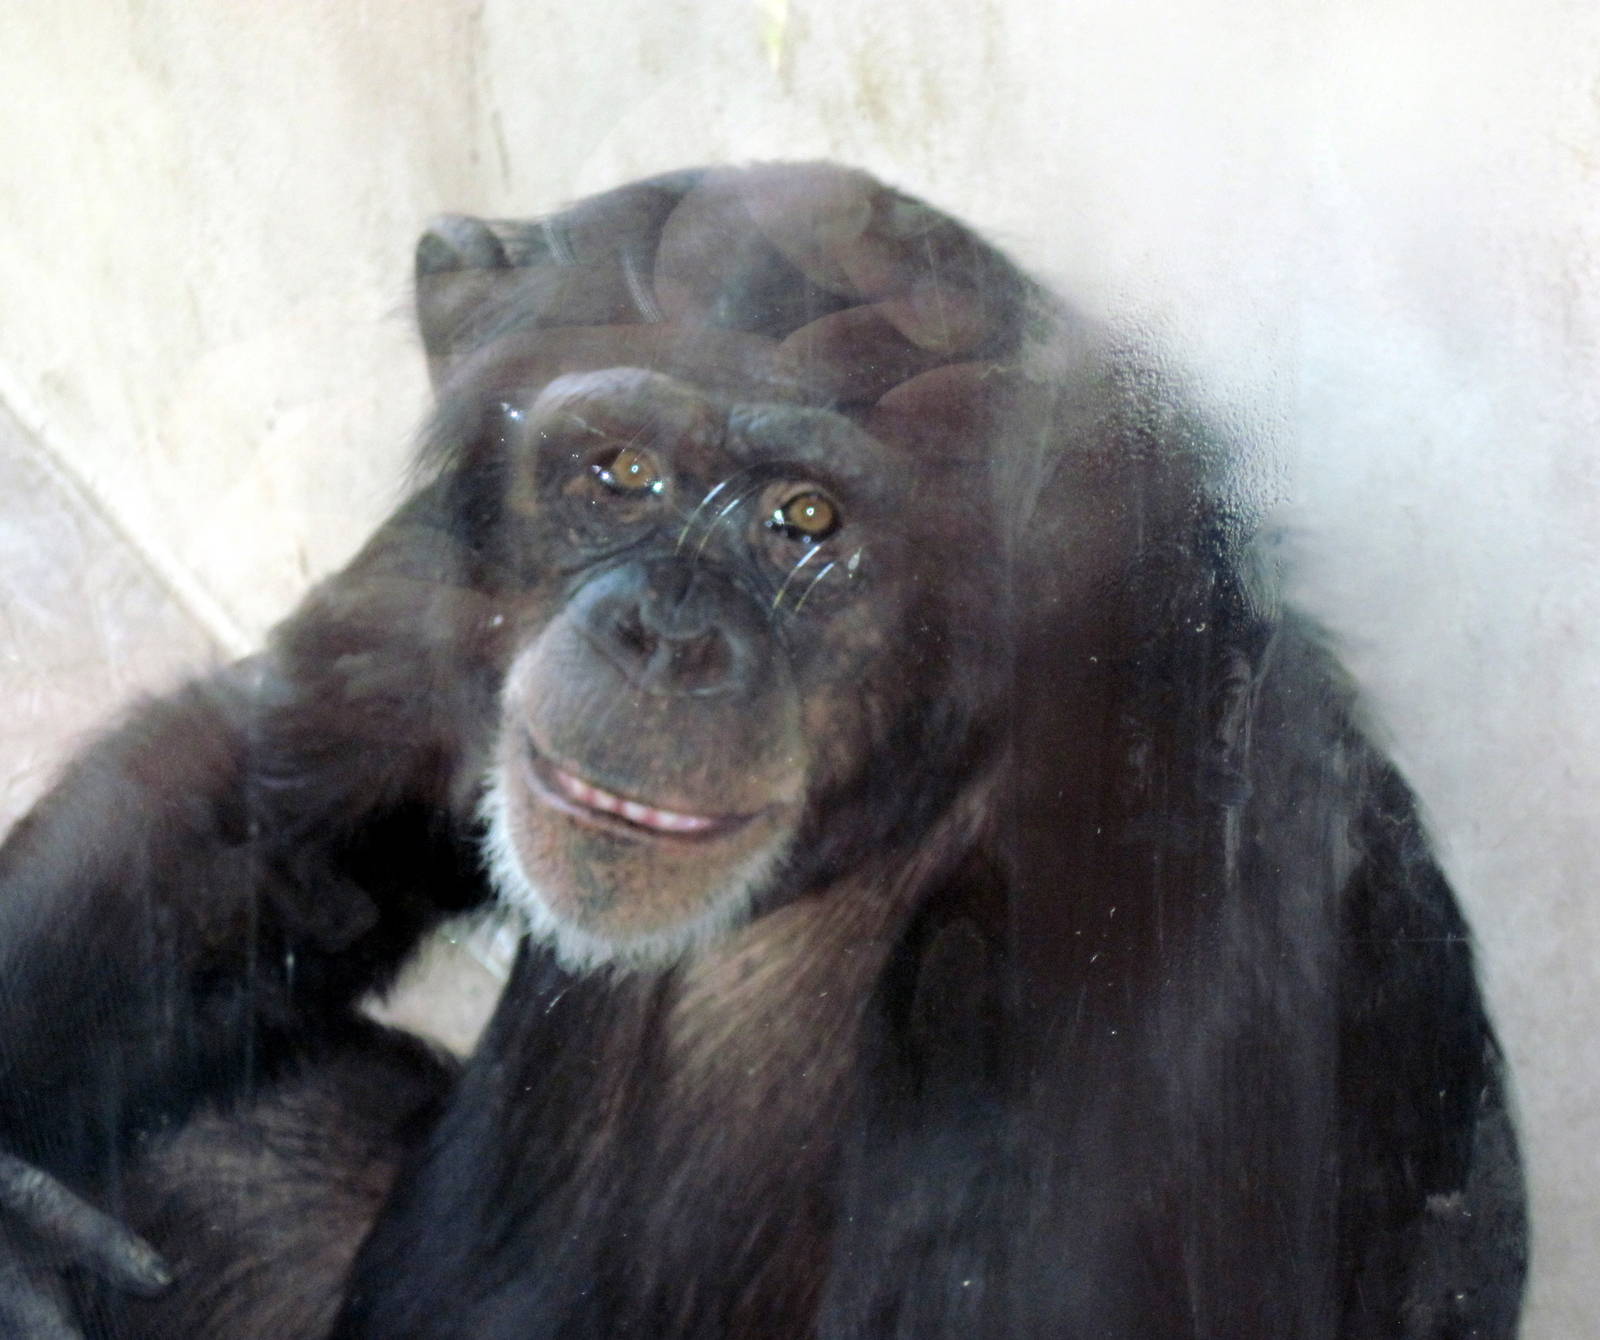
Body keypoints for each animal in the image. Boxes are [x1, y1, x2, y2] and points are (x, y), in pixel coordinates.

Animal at [0, 163, 1525, 1338]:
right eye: (619, 471)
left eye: (806, 519)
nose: (665, 636)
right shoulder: (456, 548)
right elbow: (275, 800)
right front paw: (11, 1230)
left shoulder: (1158, 927)